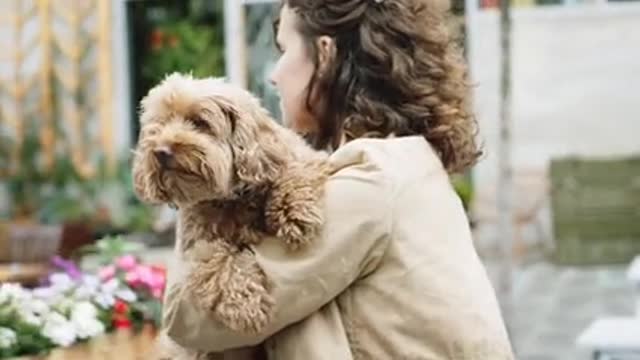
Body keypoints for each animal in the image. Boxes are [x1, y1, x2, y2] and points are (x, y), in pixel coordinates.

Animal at [130, 74, 330, 340]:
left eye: (199, 122)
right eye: (160, 124)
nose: (161, 151)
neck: (230, 198)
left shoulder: (305, 160)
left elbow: (294, 172)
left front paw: (292, 212)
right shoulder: (196, 246)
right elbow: (219, 258)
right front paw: (244, 305)